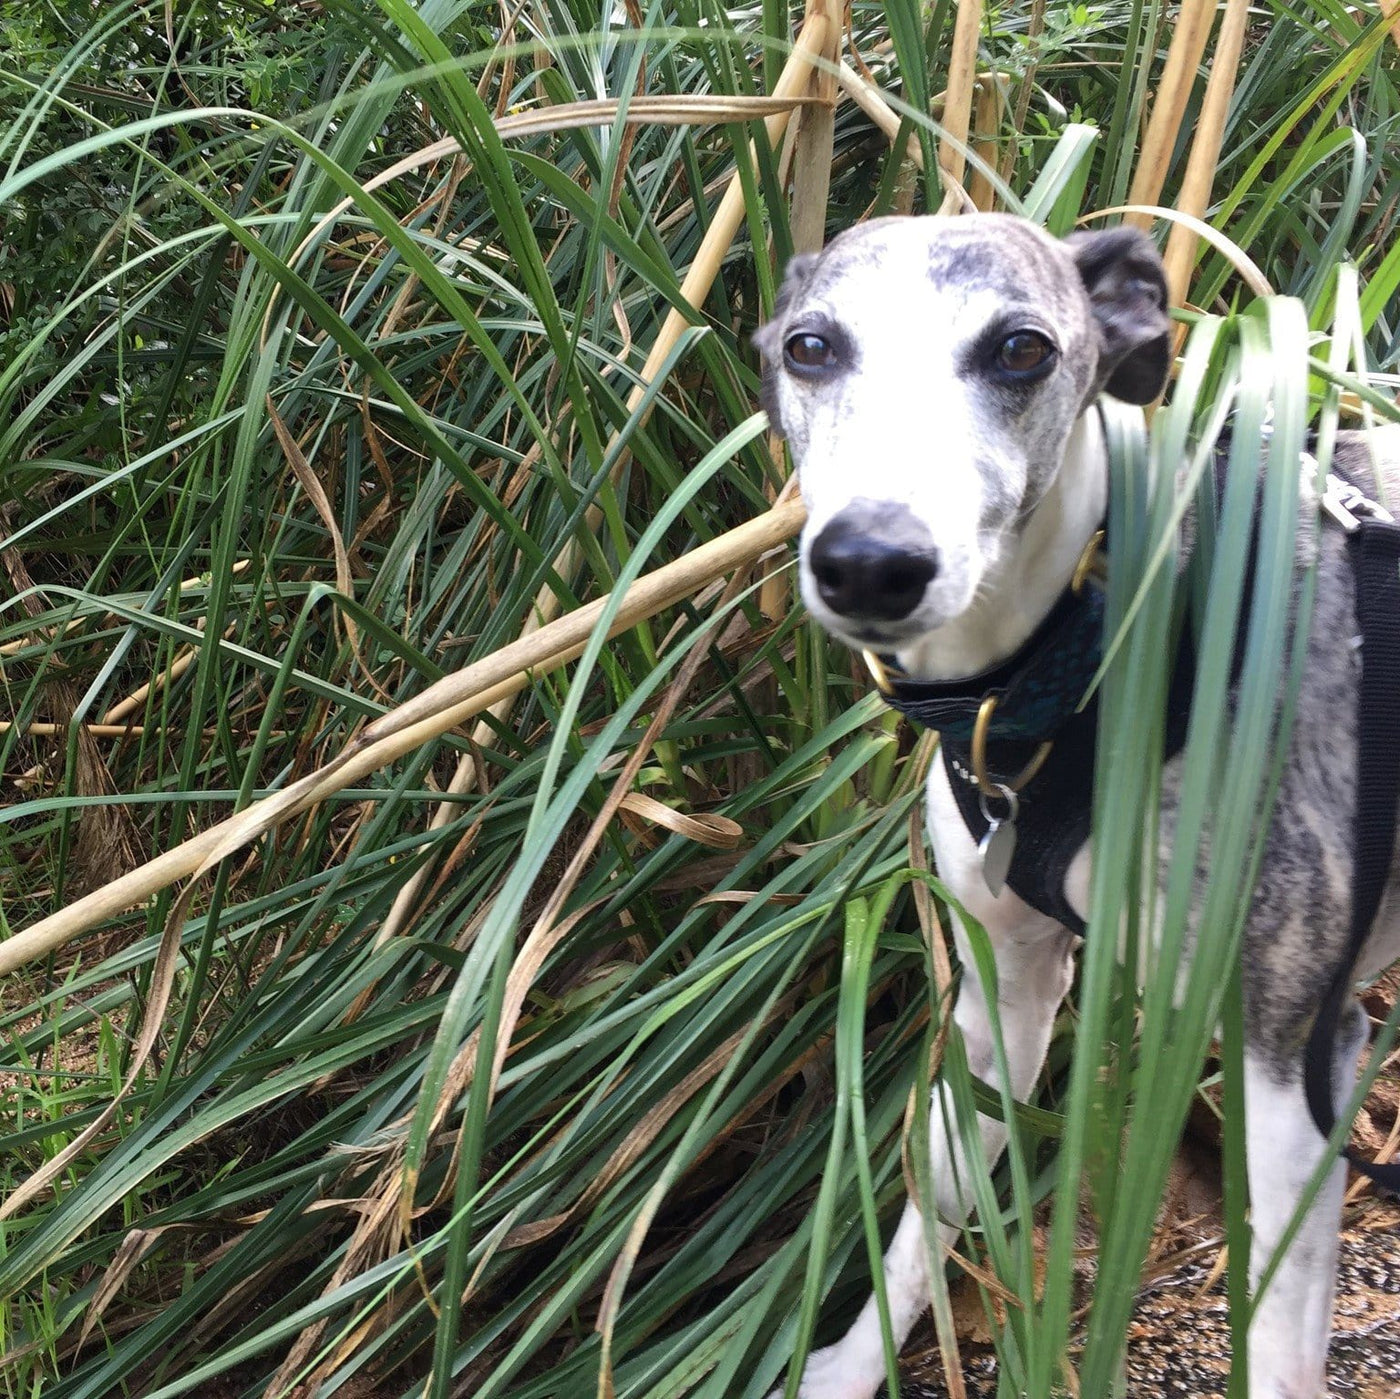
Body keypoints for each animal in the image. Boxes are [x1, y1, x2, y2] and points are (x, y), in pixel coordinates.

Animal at [756, 210, 1400, 1399]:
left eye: (1021, 349)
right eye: (810, 347)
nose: (870, 563)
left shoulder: (1291, 1066)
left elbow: (1280, 1348)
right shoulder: (999, 1001)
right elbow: (929, 1214)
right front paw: (844, 1369)